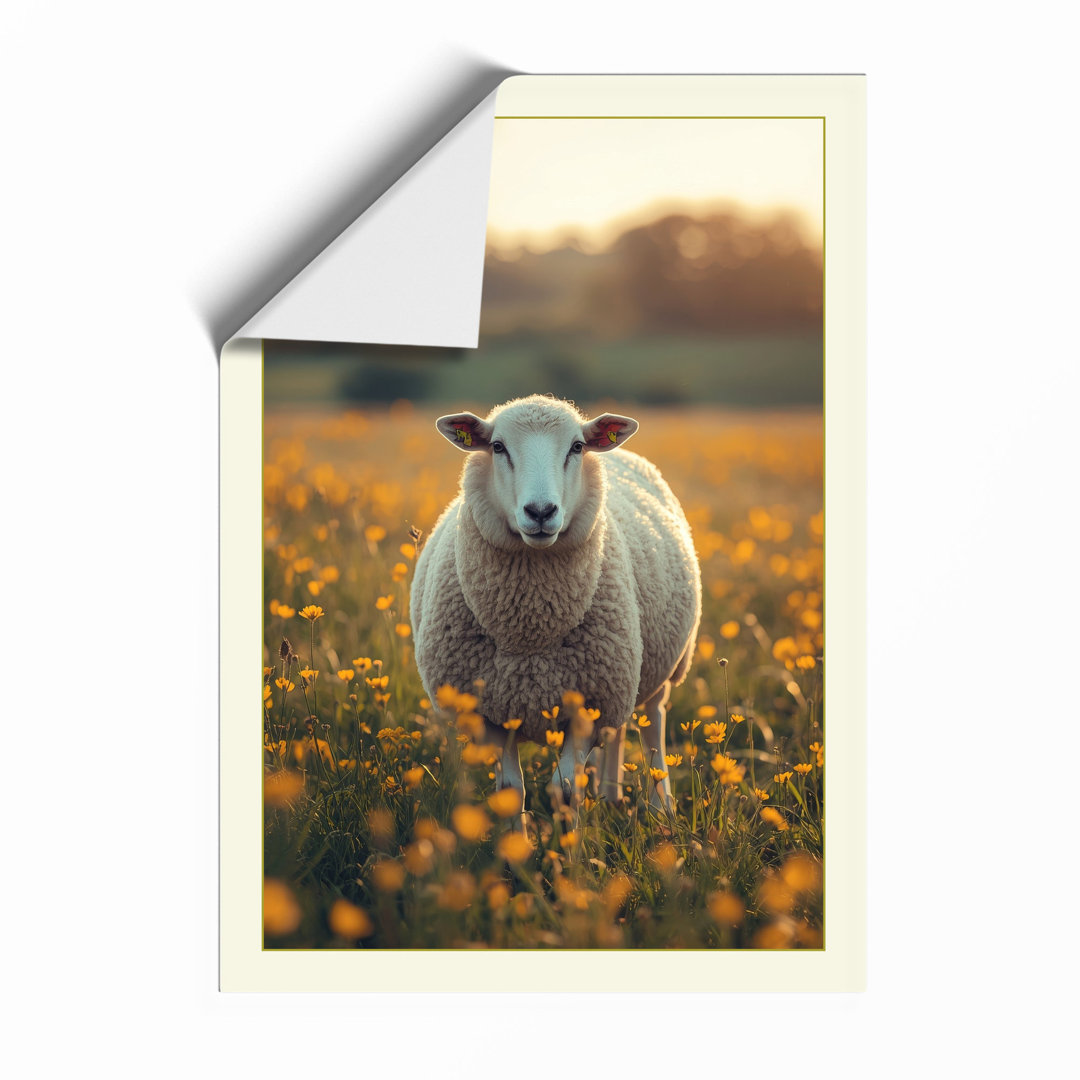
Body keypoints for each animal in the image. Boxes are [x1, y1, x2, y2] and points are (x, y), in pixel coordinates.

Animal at [409, 394, 702, 813]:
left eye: (576, 447)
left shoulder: (591, 706)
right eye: (497, 447)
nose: (541, 512)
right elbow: (511, 792)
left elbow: (564, 789)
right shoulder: (488, 715)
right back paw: (610, 793)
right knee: (620, 729)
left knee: (653, 722)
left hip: (664, 665)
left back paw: (660, 806)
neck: (529, 633)